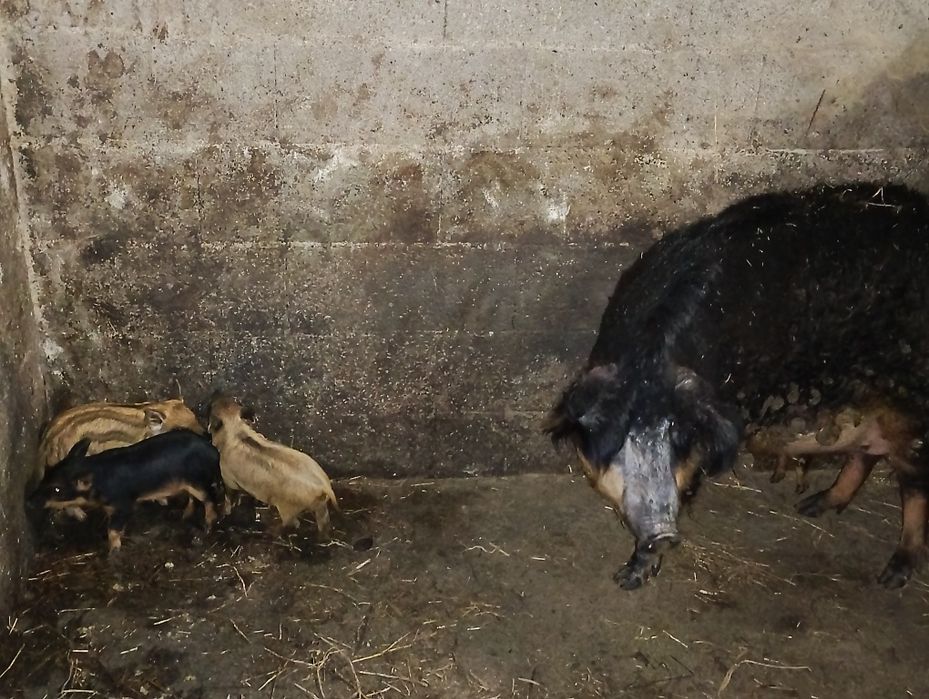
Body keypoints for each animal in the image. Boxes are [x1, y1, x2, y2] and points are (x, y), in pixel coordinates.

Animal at [36, 429, 222, 552]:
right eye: (46, 475)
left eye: (57, 489)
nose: (31, 500)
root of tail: (213, 451)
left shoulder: (123, 504)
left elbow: (113, 530)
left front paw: (113, 552)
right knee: (194, 499)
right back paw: (183, 516)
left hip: (197, 481)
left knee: (209, 498)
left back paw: (207, 527)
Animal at [206, 395, 338, 537]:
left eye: (211, 408)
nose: (216, 394)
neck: (236, 430)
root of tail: (325, 486)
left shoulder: (228, 479)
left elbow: (229, 498)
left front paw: (224, 513)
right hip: (321, 506)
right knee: (323, 522)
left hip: (288, 509)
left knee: (293, 523)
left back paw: (271, 531)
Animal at [547, 183, 929, 589]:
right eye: (623, 438)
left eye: (679, 437)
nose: (664, 533)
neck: (650, 361)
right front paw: (627, 579)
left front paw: (631, 576)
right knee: (866, 453)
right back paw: (812, 506)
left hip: (911, 405)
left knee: (914, 482)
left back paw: (892, 576)